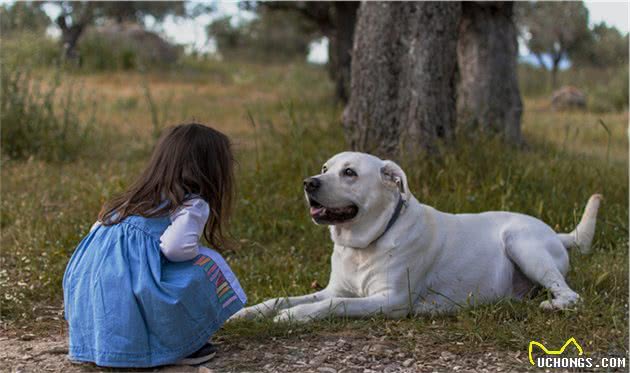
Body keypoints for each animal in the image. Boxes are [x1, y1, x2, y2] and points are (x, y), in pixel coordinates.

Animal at [232, 153, 604, 322]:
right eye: (325, 169)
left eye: (349, 172)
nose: (309, 183)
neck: (364, 244)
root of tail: (556, 232)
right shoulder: (334, 288)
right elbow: (281, 298)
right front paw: (248, 312)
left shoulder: (391, 300)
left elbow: (334, 305)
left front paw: (294, 316)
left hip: (521, 241)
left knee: (571, 295)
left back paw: (552, 304)